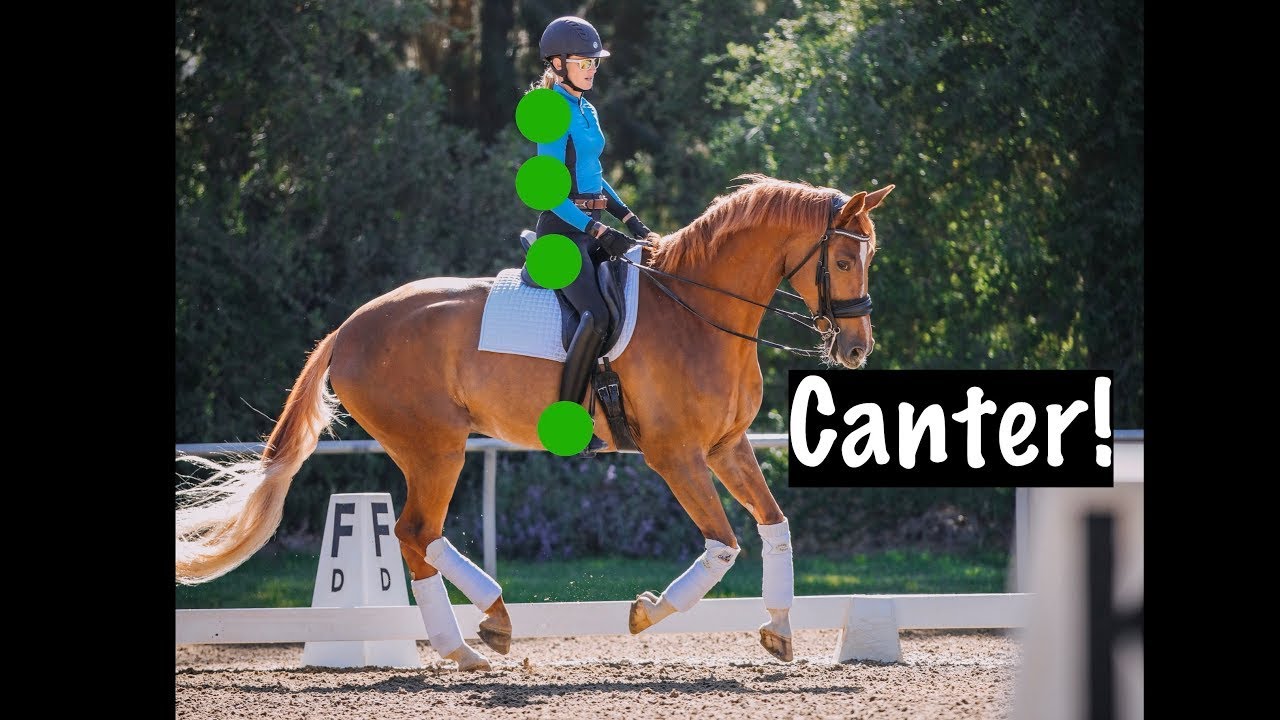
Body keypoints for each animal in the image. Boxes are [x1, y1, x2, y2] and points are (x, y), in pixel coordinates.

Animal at [176, 173, 895, 671]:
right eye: (840, 260)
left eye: (870, 258)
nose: (856, 349)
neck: (697, 312)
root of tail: (348, 329)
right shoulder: (675, 455)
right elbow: (721, 546)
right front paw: (647, 613)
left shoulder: (726, 446)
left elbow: (775, 525)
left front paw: (779, 630)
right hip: (435, 447)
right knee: (414, 532)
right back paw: (478, 634)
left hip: (428, 449)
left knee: (418, 537)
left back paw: (478, 636)